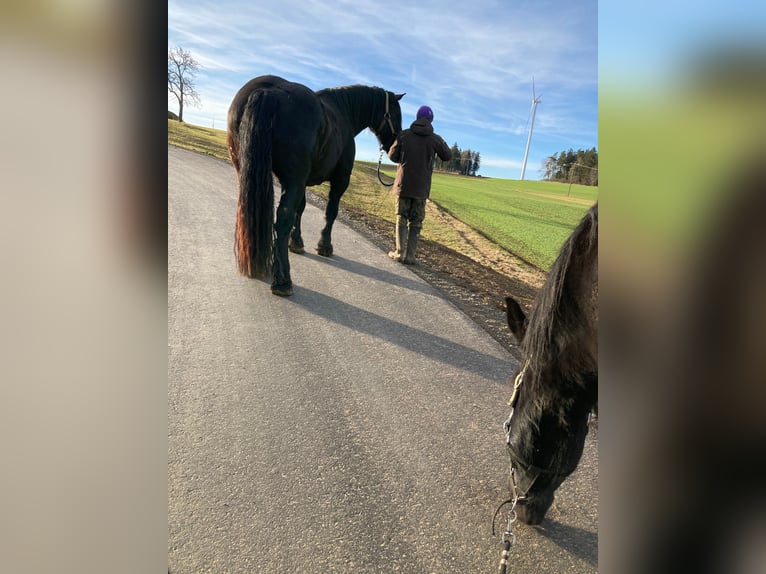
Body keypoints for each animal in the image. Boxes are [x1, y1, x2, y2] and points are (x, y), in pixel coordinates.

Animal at [228, 75, 408, 296]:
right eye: (396, 113)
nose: (396, 149)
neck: (343, 113)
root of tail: (268, 91)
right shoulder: (339, 181)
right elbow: (330, 212)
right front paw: (324, 246)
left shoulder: (303, 182)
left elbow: (301, 209)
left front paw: (296, 243)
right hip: (293, 180)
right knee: (282, 219)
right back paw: (283, 280)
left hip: (245, 170)